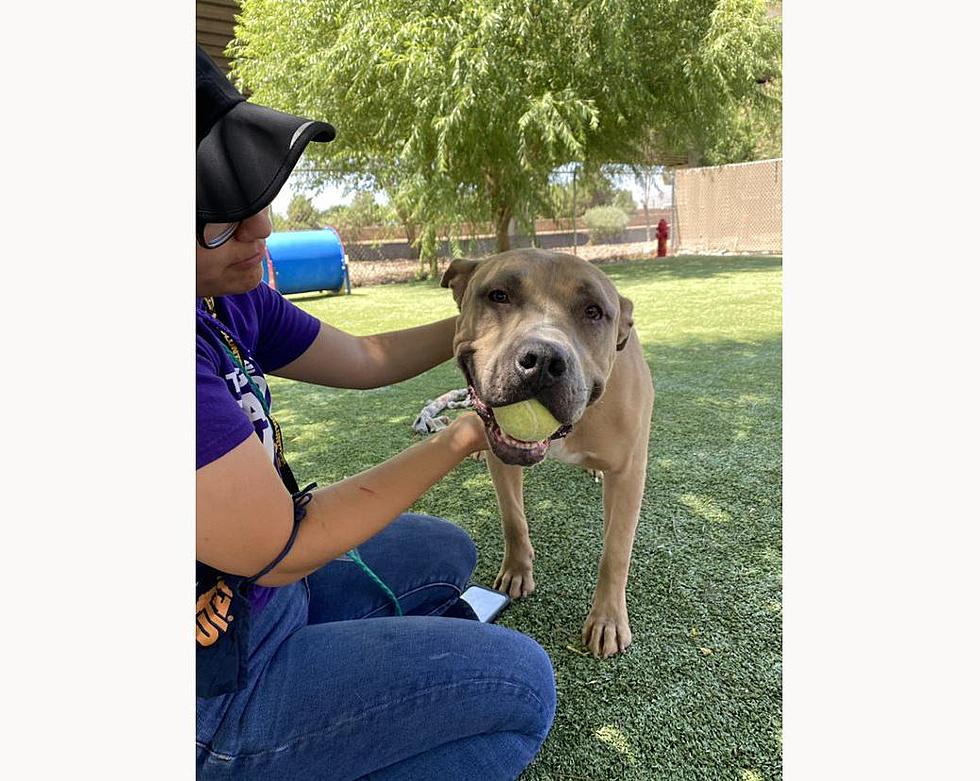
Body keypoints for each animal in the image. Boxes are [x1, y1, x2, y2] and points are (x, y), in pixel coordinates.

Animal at [440, 248, 656, 652]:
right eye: (498, 295)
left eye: (593, 311)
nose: (542, 359)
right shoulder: (502, 456)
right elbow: (513, 518)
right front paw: (517, 570)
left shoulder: (629, 473)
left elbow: (616, 551)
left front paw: (608, 619)